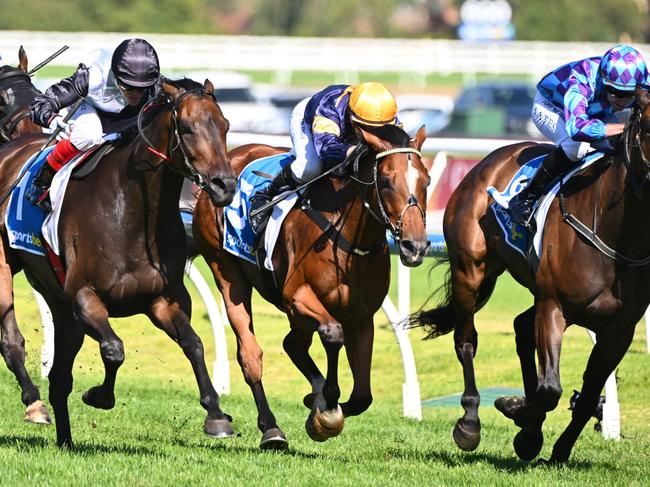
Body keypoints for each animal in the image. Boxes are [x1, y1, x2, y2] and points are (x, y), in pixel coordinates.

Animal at [0, 78, 238, 448]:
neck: (133, 211)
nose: (224, 186)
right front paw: (99, 396)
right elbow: (114, 349)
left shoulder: (162, 300)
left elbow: (194, 344)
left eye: (225, 126)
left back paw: (65, 440)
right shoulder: (84, 297)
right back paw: (34, 402)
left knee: (60, 378)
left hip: (59, 303)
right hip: (7, 267)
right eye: (187, 128)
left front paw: (215, 415)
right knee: (12, 341)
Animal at [192, 125, 430, 450]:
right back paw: (271, 429)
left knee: (292, 344)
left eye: (427, 180)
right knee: (250, 355)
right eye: (385, 182)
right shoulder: (298, 296)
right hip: (227, 272)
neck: (347, 238)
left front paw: (319, 404)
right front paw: (326, 407)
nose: (414, 246)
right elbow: (332, 334)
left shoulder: (361, 317)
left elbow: (362, 396)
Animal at [410, 87, 650, 466]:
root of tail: (487, 161)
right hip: (471, 271)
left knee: (522, 327)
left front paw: (554, 446)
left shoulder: (619, 330)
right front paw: (519, 417)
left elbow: (587, 396)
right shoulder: (554, 306)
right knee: (466, 341)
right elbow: (550, 389)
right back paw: (470, 422)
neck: (616, 232)